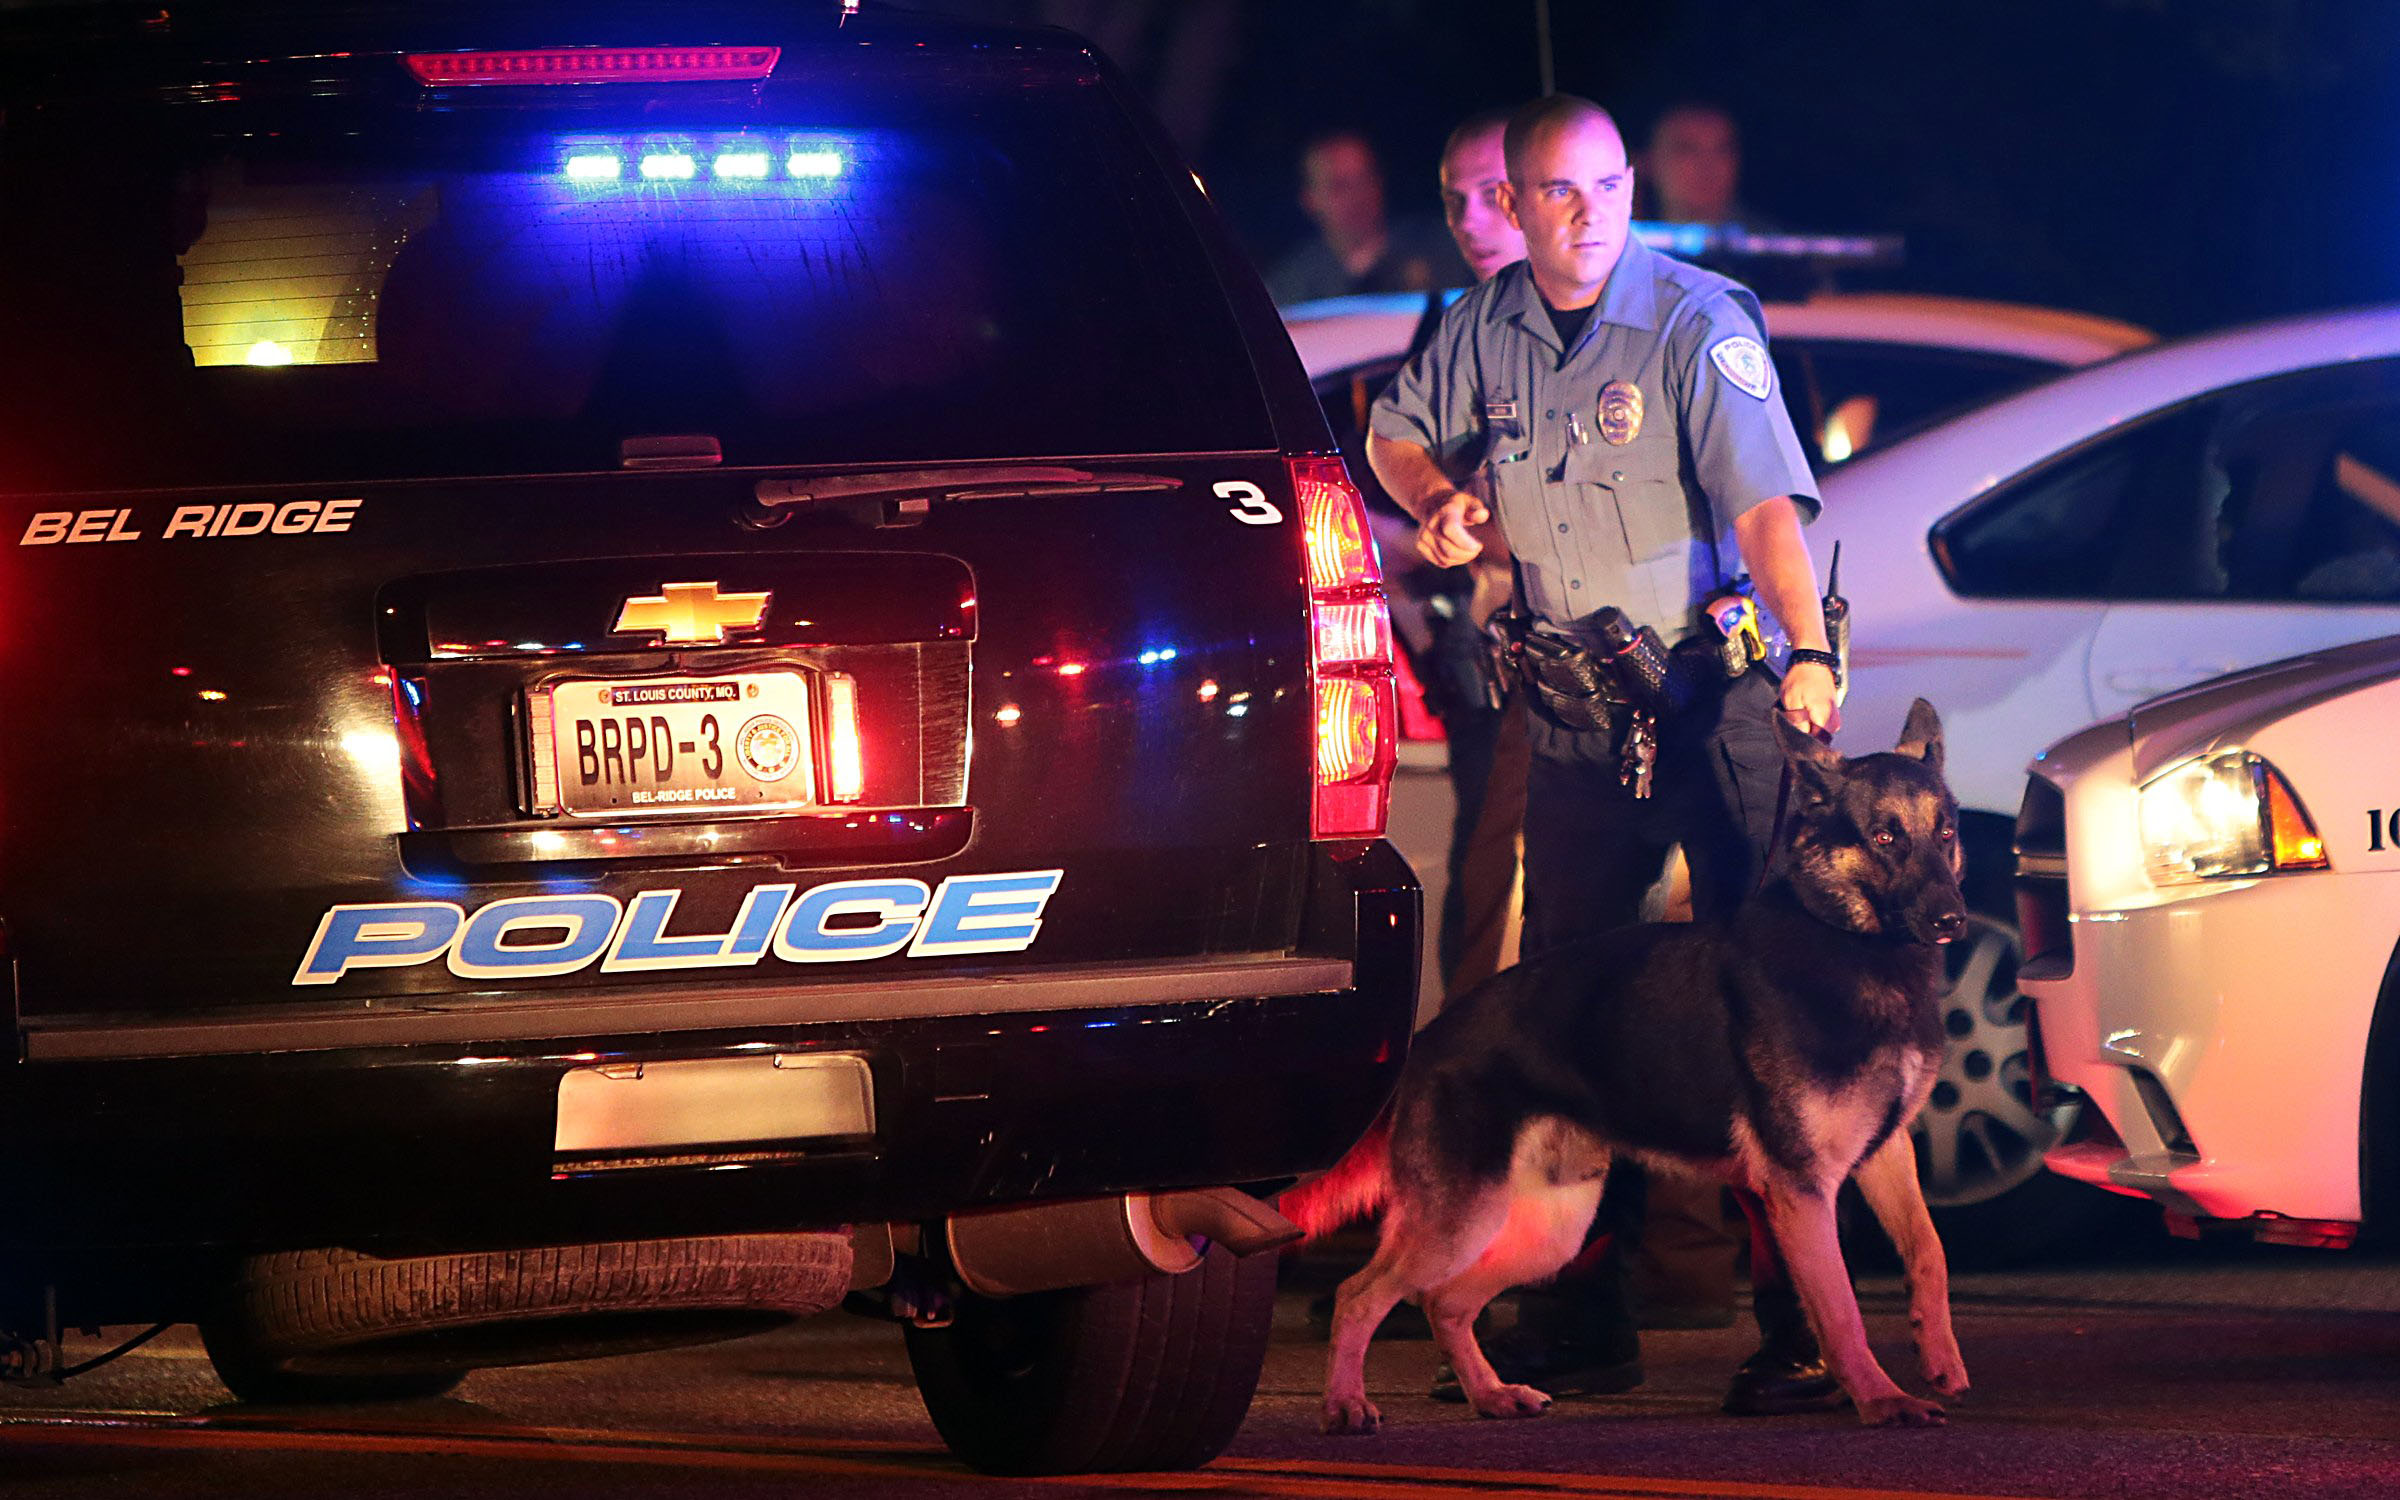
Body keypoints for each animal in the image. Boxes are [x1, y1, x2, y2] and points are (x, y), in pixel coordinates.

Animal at [1296, 700, 1968, 1430]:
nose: (1953, 920)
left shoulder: (1884, 1155)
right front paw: (1882, 1398)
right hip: (1462, 1220)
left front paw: (1939, 1355)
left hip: (1548, 1231)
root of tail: (1428, 1037)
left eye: (1946, 833)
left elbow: (1930, 1250)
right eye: (1885, 837)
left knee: (1444, 1301)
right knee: (1362, 1295)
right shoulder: (1802, 1187)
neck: (1851, 943)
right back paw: (1346, 1402)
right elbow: (1842, 1310)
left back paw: (1492, 1393)